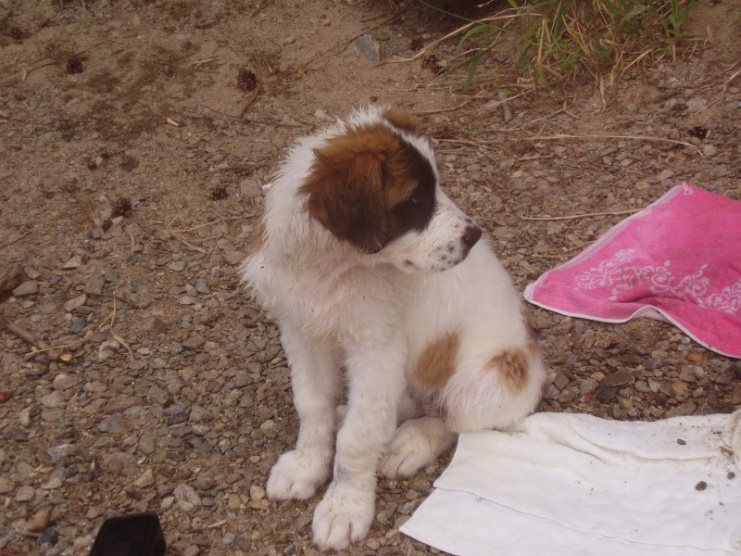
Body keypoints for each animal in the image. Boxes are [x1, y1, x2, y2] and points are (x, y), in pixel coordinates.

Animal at [240, 106, 548, 551]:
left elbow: (359, 437)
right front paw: (306, 465)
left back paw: (410, 444)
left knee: (453, 421)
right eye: (415, 200)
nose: (474, 236)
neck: (331, 268)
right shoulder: (302, 333)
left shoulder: (377, 349)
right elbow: (311, 405)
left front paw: (344, 507)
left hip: (489, 379)